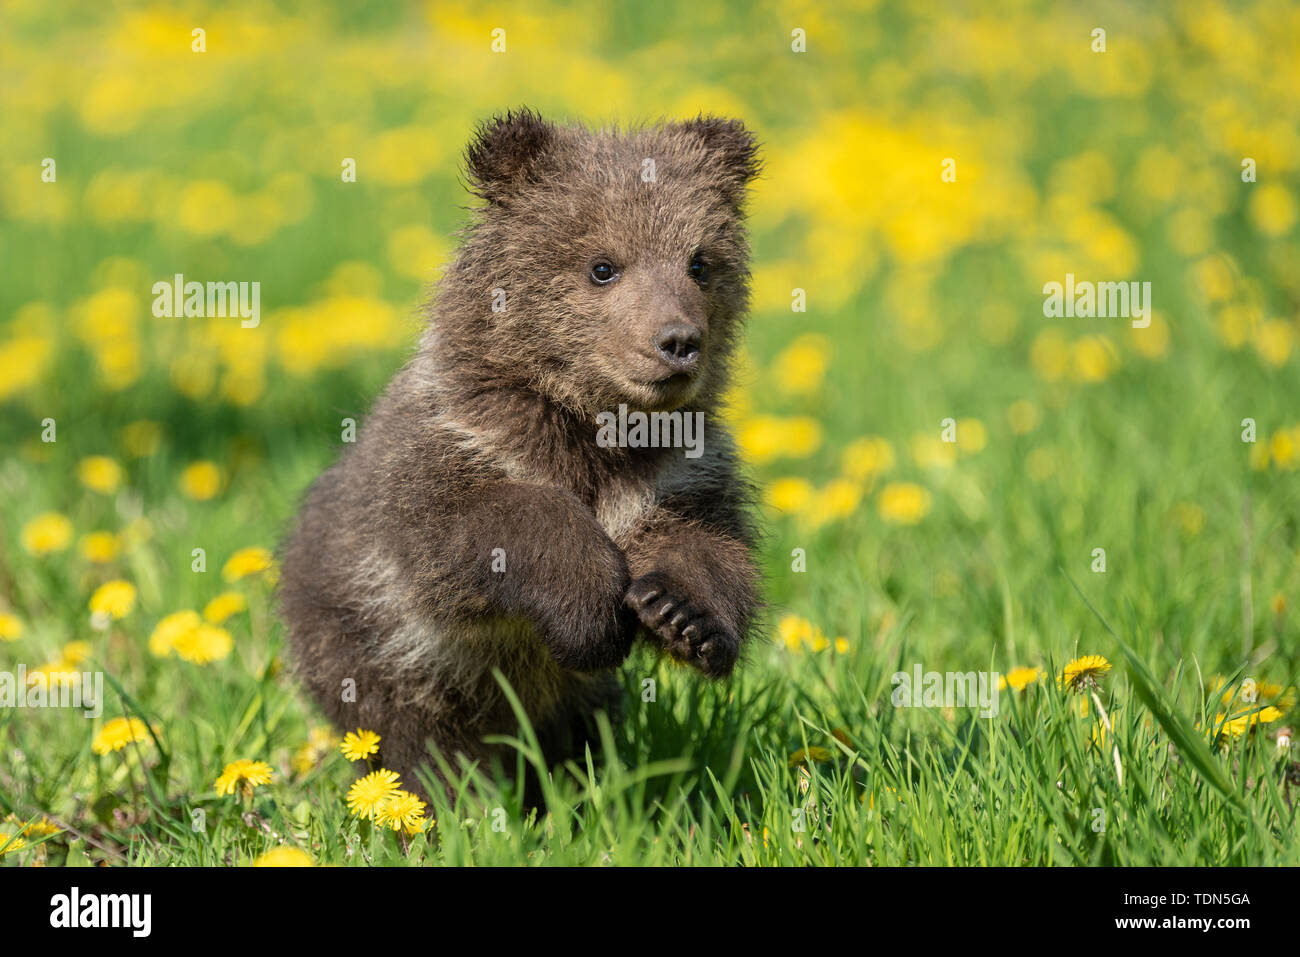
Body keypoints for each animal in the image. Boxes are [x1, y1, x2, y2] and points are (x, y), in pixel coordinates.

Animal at [277, 108, 763, 802]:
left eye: (699, 262)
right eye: (603, 266)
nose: (677, 340)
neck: (593, 428)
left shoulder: (677, 473)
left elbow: (710, 546)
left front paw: (683, 617)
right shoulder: (458, 450)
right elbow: (486, 527)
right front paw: (589, 613)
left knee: (578, 733)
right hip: (365, 643)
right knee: (411, 734)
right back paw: (461, 801)